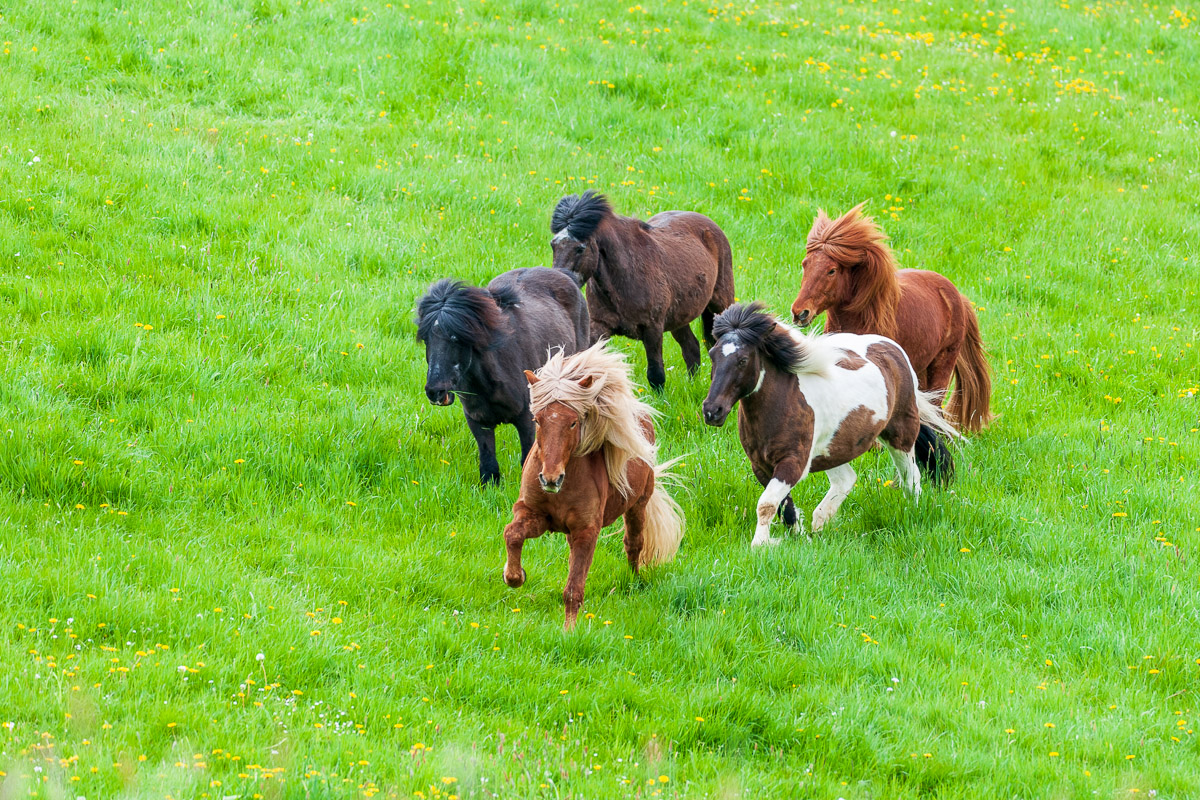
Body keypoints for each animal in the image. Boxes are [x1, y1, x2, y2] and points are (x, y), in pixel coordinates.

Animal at [416, 268, 589, 485]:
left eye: (455, 338)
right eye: (426, 339)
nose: (435, 392)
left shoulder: (526, 419)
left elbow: (527, 460)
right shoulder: (477, 421)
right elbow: (489, 465)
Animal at [501, 341, 685, 629]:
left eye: (573, 422)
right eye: (537, 420)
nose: (550, 479)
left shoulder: (587, 531)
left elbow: (573, 589)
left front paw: (569, 631)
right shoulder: (534, 515)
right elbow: (512, 533)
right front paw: (515, 577)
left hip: (637, 507)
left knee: (634, 544)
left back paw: (635, 581)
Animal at [549, 191, 735, 391]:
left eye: (580, 248)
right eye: (553, 244)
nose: (559, 281)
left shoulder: (652, 329)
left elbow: (656, 374)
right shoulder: (598, 327)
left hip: (720, 304)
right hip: (679, 317)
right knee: (691, 348)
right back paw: (692, 386)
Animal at [702, 302, 958, 547]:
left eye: (743, 360)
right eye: (712, 355)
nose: (712, 411)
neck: (782, 405)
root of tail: (893, 349)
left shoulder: (793, 463)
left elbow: (767, 504)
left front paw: (760, 545)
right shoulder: (761, 466)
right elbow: (784, 508)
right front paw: (798, 538)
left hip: (901, 434)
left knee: (911, 480)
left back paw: (912, 513)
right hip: (832, 449)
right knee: (846, 479)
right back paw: (819, 525)